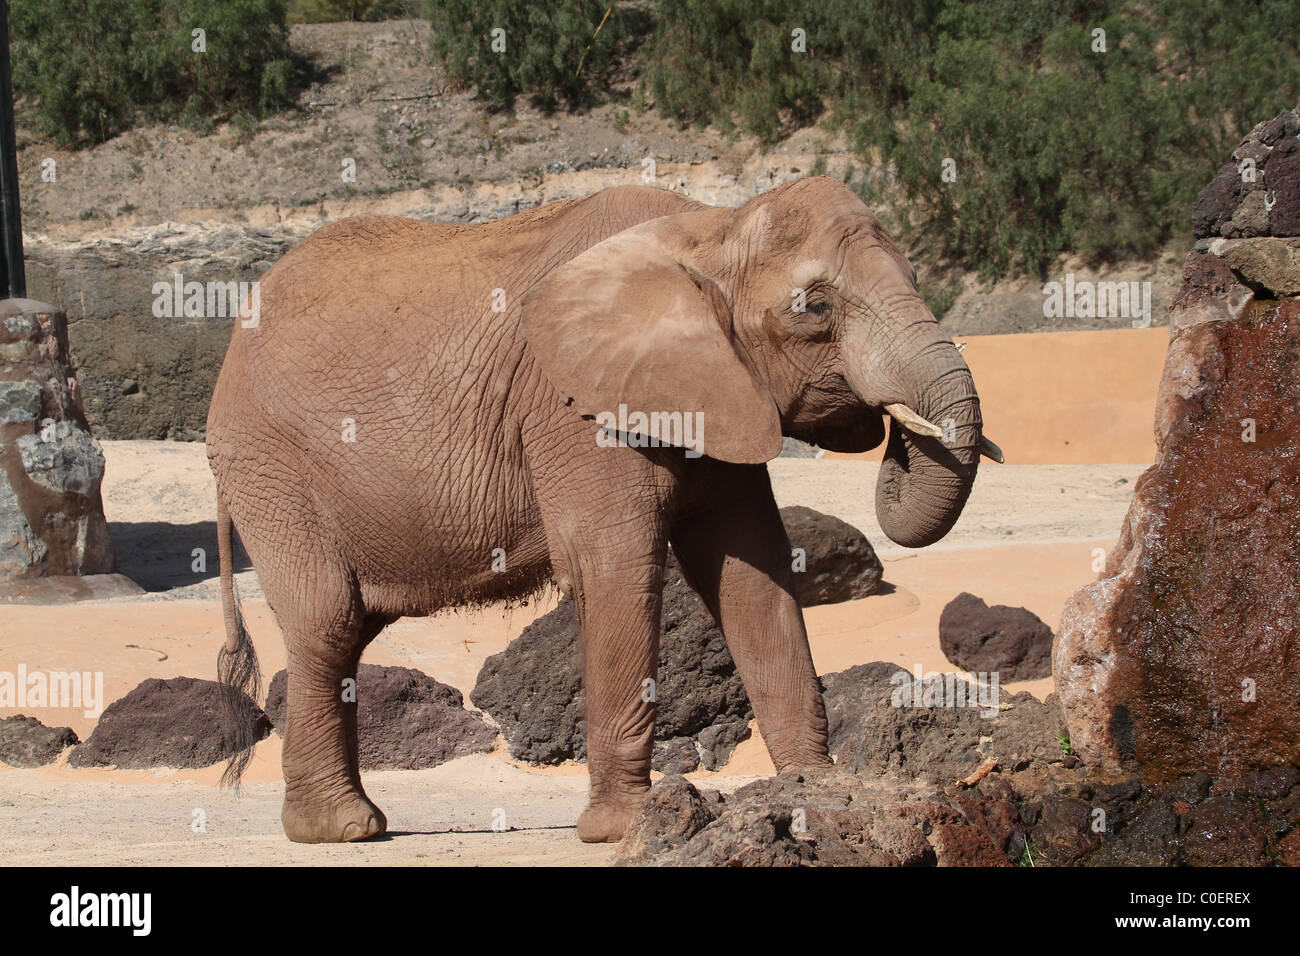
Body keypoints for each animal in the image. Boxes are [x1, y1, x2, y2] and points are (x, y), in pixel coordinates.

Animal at [206, 176, 1002, 844]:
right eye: (816, 308)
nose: (896, 434)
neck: (713, 227)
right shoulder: (577, 410)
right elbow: (616, 568)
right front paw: (623, 830)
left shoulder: (718, 392)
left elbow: (754, 575)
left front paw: (814, 796)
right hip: (269, 466)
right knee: (327, 621)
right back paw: (342, 831)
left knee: (347, 630)